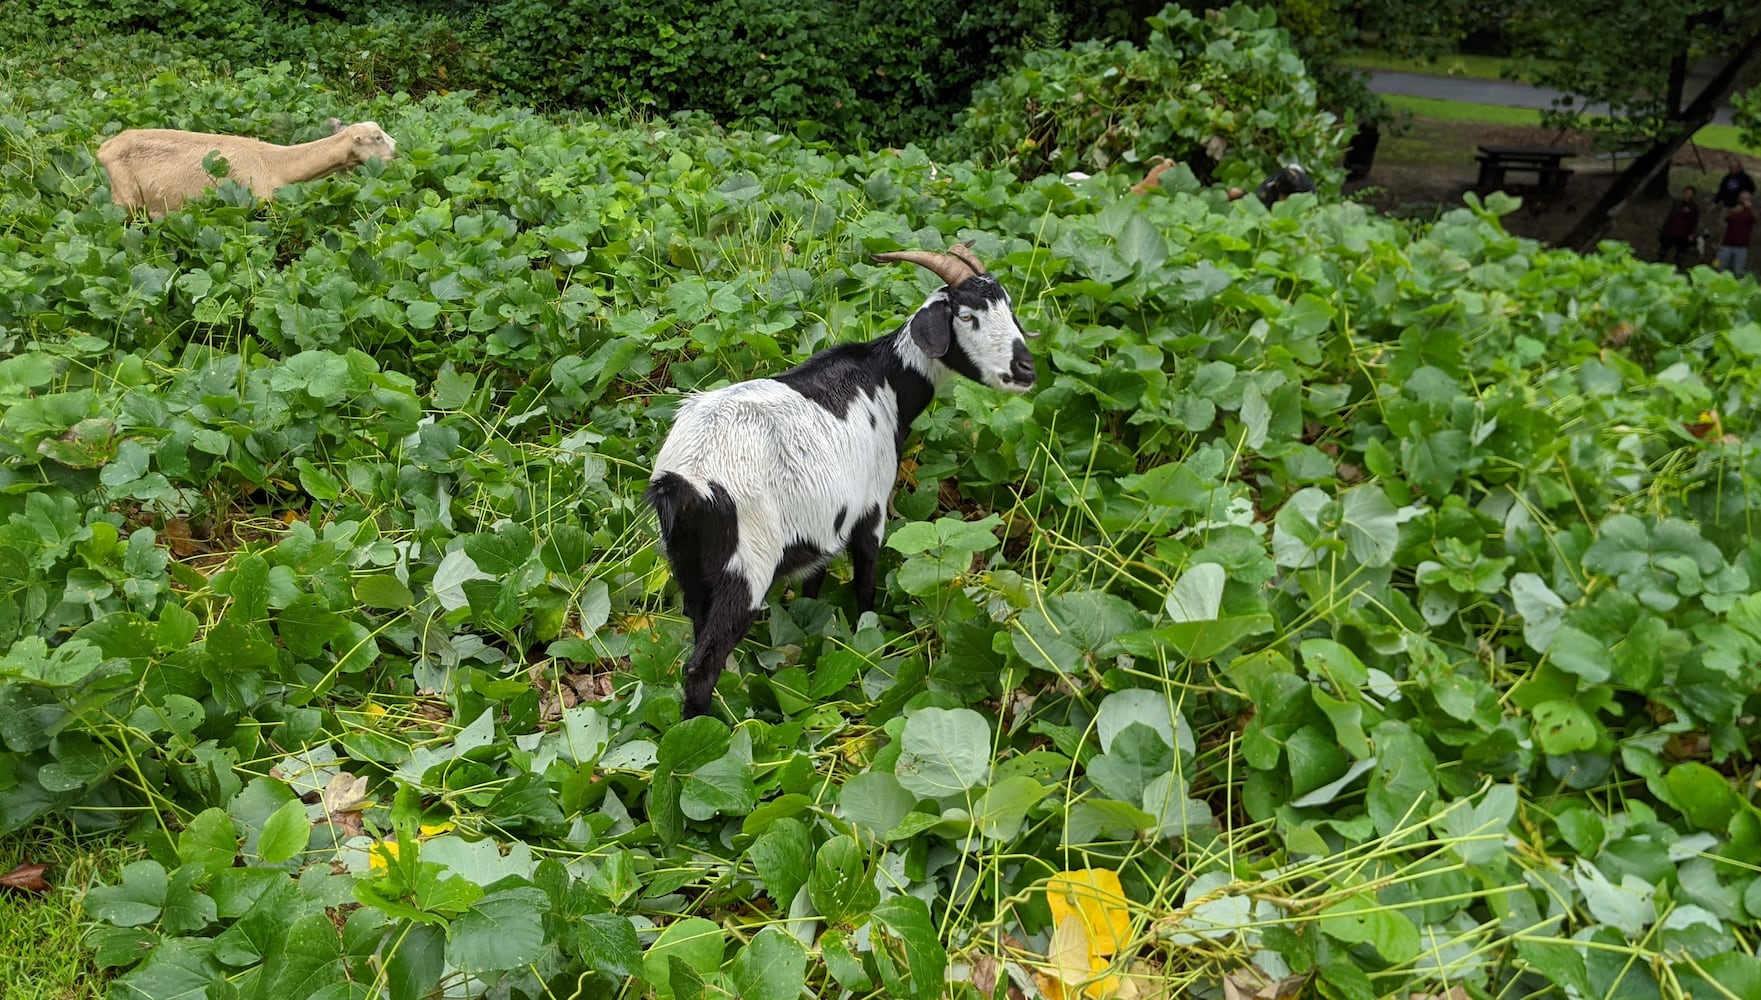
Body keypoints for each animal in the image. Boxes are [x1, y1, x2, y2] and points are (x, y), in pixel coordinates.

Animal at [644, 244, 1028, 718]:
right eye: (967, 316)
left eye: (1008, 307)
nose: (1027, 369)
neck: (884, 381)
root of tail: (684, 480)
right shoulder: (871, 507)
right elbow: (864, 582)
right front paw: (869, 641)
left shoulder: (821, 527)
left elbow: (813, 588)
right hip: (748, 563)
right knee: (702, 664)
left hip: (686, 562)